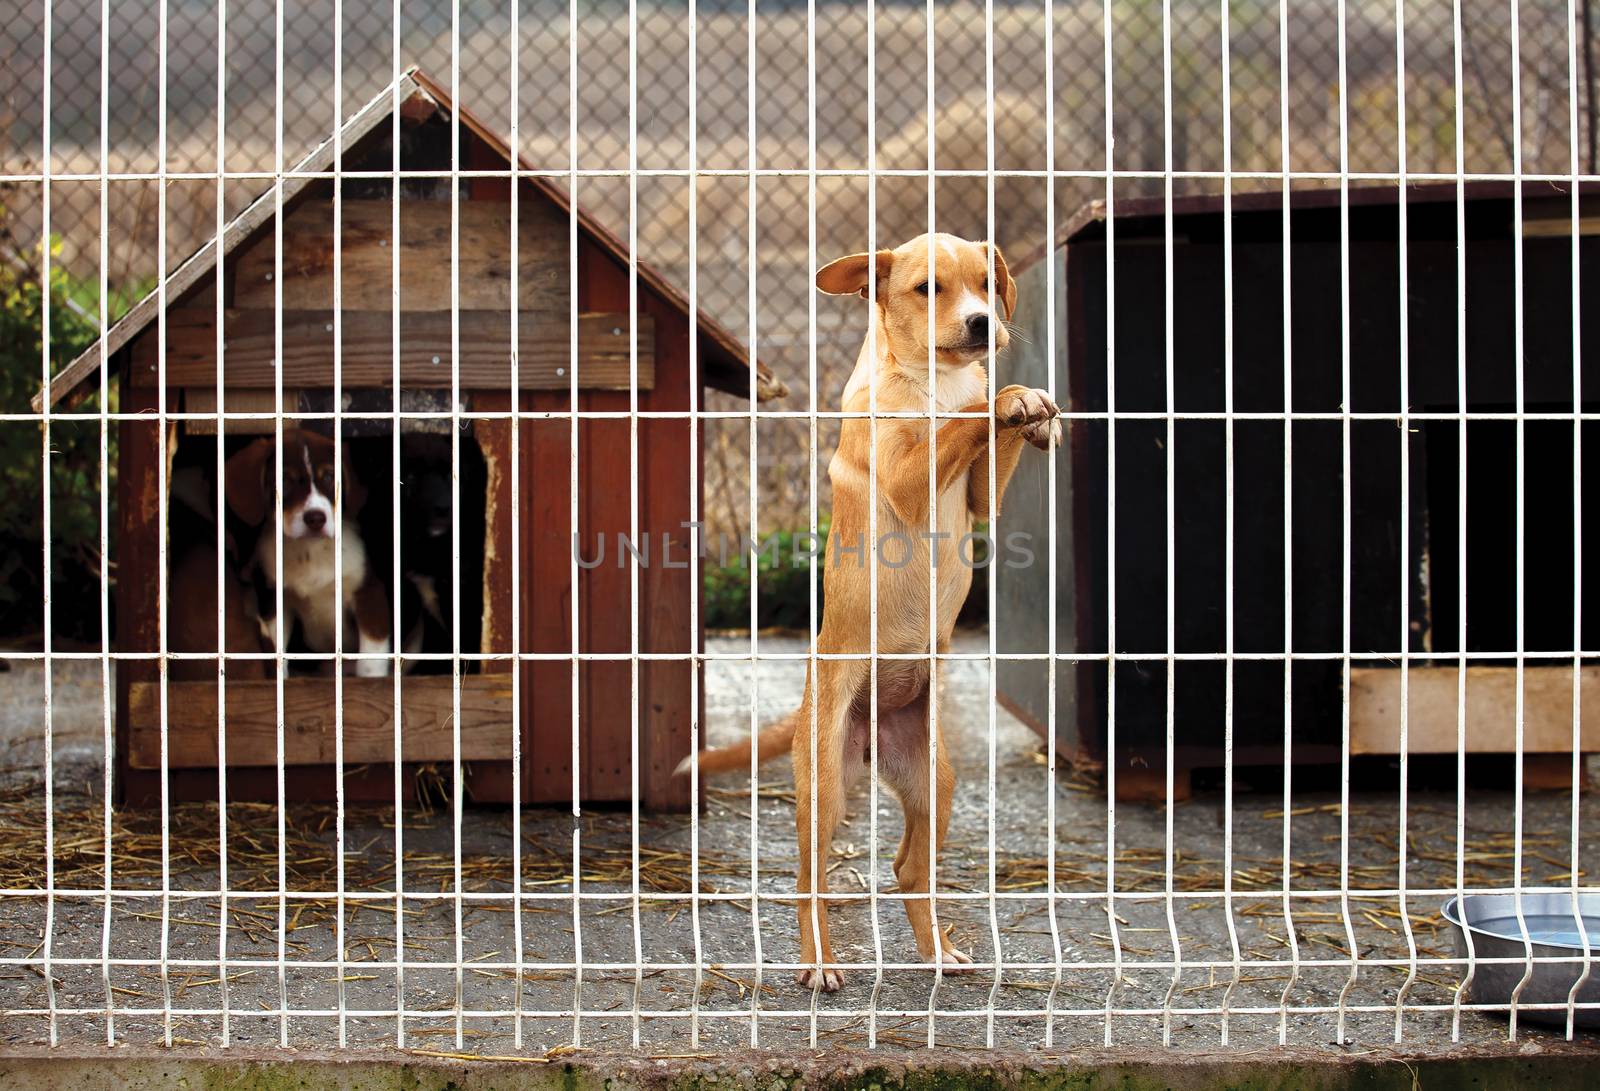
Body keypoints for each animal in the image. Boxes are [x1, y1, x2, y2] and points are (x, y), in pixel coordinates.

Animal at [225, 428, 393, 675]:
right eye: (283, 480)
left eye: (329, 477)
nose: (315, 518)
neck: (310, 550)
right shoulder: (276, 602)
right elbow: (278, 653)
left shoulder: (370, 594)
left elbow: (370, 664)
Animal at [675, 233, 1062, 991]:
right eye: (928, 288)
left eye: (985, 284)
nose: (983, 325)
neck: (933, 379)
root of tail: (870, 735)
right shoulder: (909, 481)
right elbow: (960, 423)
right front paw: (1008, 398)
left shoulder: (981, 499)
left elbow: (982, 441)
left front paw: (1024, 406)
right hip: (823, 785)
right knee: (810, 880)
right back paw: (820, 964)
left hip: (936, 781)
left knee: (909, 866)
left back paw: (937, 951)